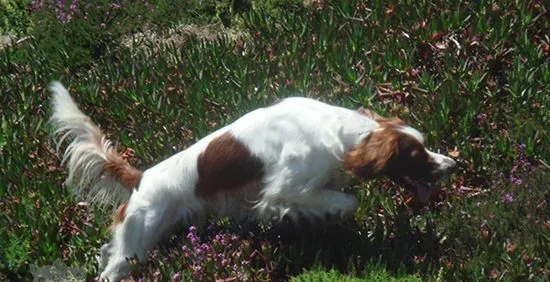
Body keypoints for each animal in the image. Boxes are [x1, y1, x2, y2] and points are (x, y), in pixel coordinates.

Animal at [48, 81, 458, 280]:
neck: (339, 132)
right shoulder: (282, 191)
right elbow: (344, 202)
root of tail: (141, 176)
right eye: (416, 155)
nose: (452, 164)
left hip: (139, 239)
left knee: (108, 252)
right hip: (133, 247)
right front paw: (330, 218)